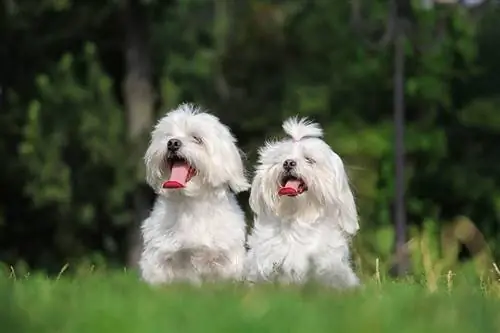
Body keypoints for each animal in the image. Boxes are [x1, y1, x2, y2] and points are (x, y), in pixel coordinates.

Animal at [139, 103, 250, 282]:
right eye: (168, 136)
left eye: (197, 139)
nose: (172, 143)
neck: (190, 203)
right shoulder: (160, 256)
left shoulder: (225, 258)